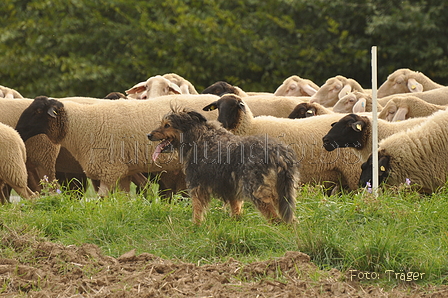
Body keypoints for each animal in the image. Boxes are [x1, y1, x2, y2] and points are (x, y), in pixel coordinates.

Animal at [149, 108, 300, 225]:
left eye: (167, 125)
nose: (148, 135)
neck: (199, 137)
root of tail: (279, 154)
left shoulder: (197, 185)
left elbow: (197, 210)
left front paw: (195, 226)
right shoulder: (231, 187)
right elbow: (236, 209)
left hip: (259, 192)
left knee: (276, 220)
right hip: (283, 194)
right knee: (291, 220)